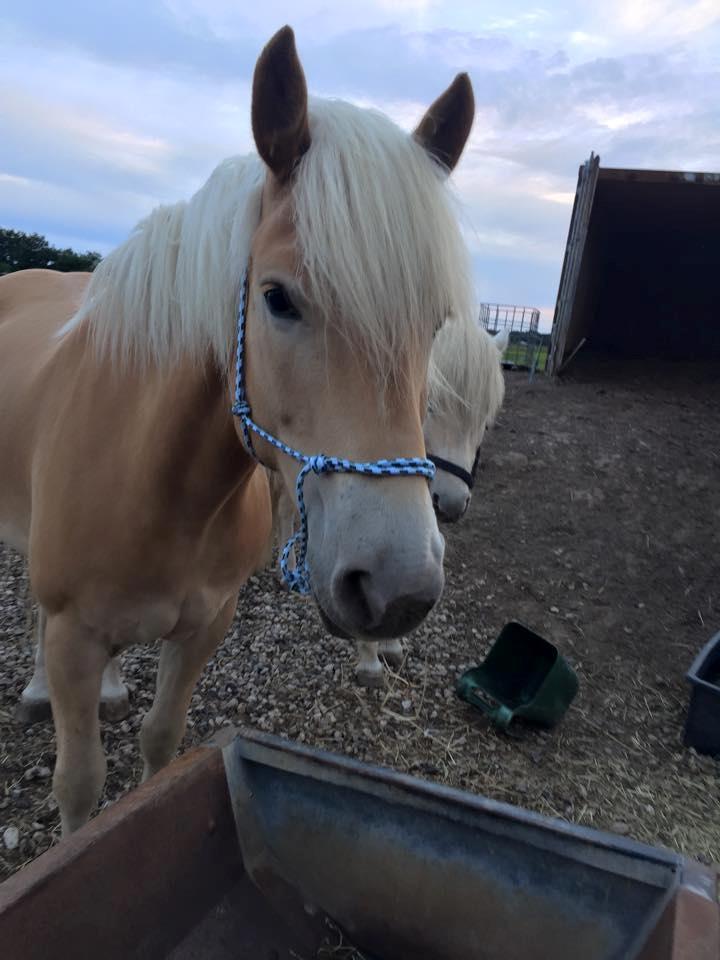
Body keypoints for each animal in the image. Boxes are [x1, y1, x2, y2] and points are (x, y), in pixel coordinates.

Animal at [2, 24, 480, 832]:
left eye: (436, 323)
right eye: (278, 298)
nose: (399, 589)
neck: (154, 482)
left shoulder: (205, 626)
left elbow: (162, 741)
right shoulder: (72, 638)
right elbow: (79, 785)